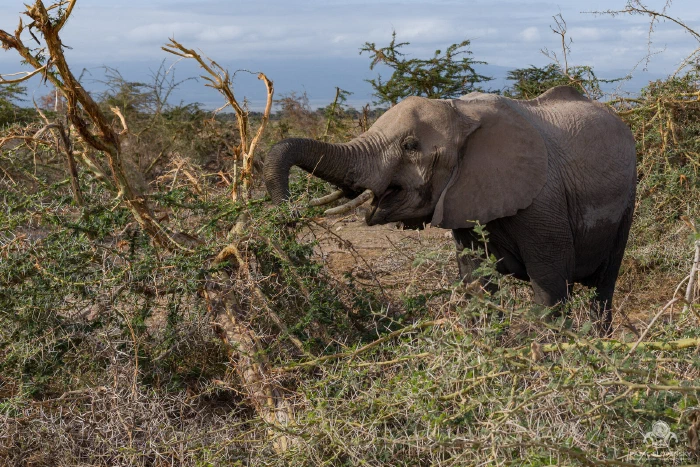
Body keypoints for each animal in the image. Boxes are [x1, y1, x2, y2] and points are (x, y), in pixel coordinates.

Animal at [264, 86, 636, 335]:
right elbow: (476, 283)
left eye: (410, 145)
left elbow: (550, 287)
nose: (288, 214)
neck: (461, 111)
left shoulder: (544, 202)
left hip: (627, 202)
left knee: (603, 287)